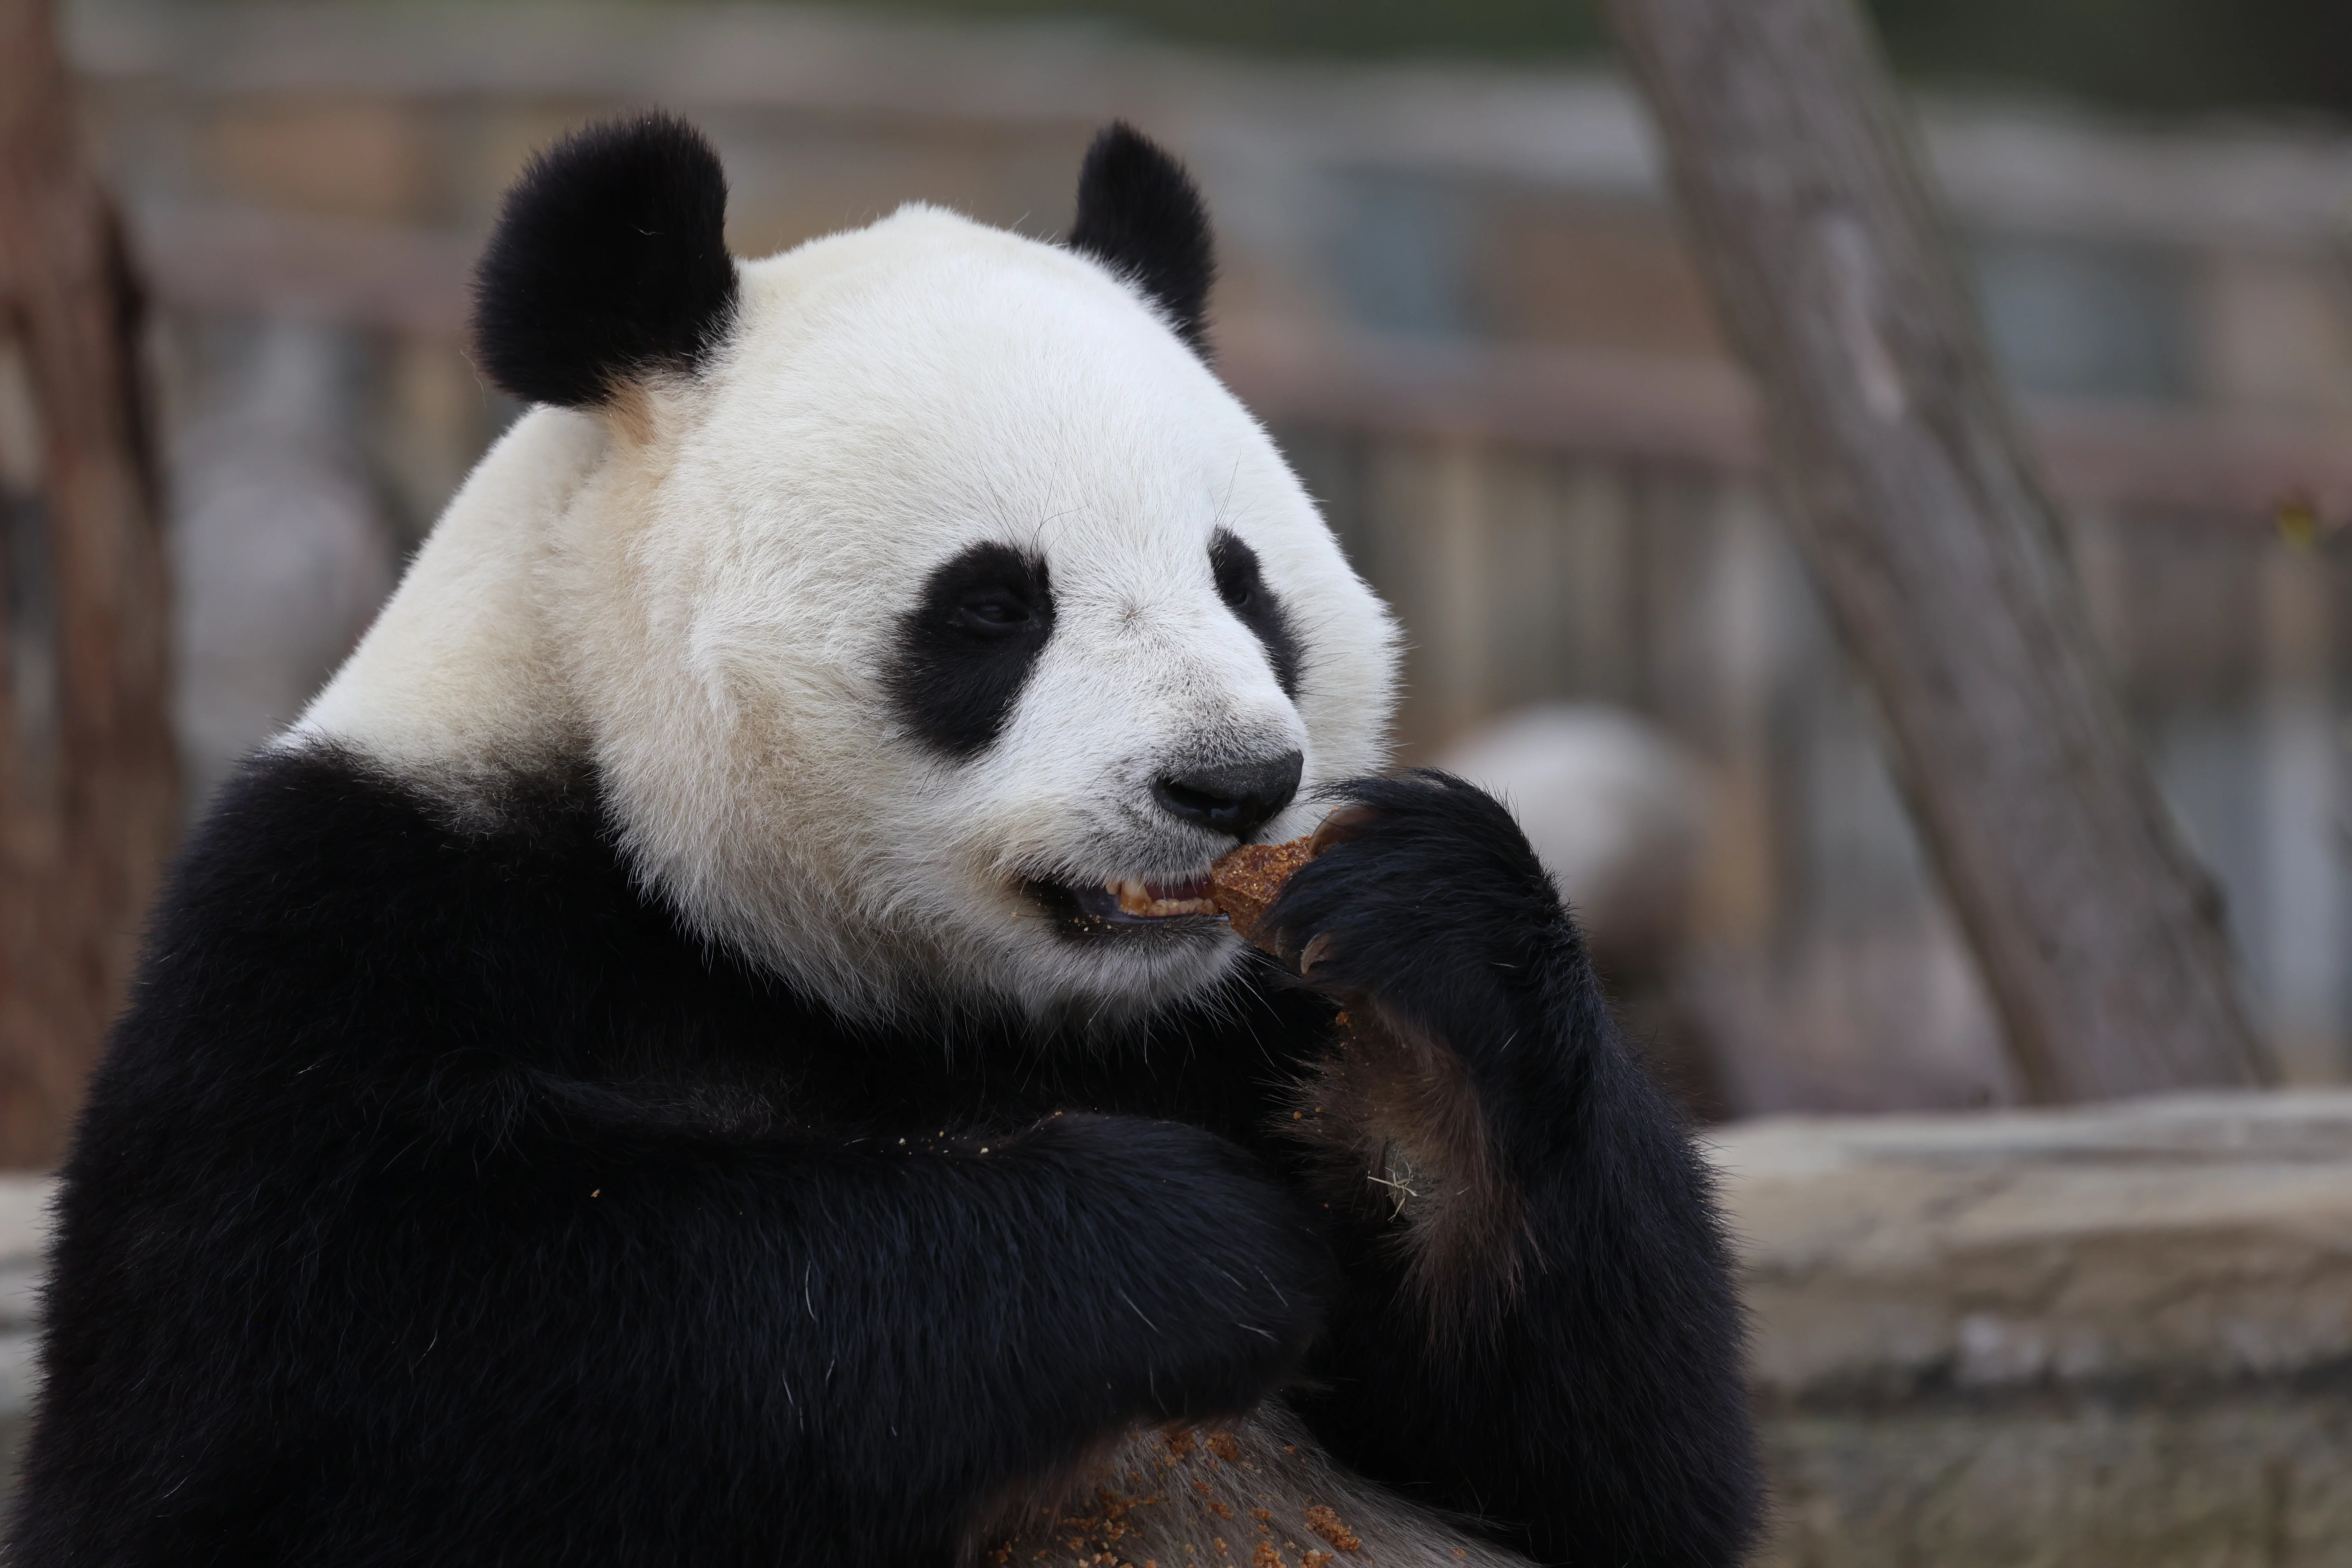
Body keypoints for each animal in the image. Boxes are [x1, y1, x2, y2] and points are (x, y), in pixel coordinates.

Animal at [9, 116, 1760, 1567]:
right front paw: (1178, 1247)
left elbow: (1616, 1473)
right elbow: (352, 1372)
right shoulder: (352, 925)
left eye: (1241, 577)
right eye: (992, 606)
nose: (1236, 784)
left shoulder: (1235, 1012)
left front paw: (1426, 936)